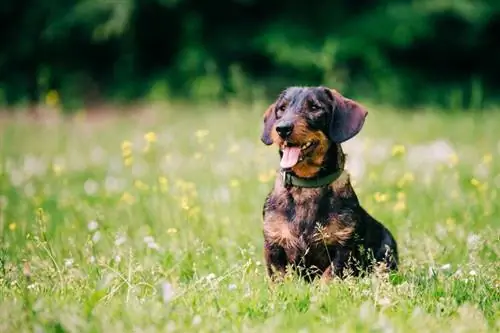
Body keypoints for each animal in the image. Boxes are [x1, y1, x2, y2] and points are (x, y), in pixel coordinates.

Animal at [262, 85, 398, 280]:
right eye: (282, 108)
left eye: (314, 108)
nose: (282, 128)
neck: (307, 186)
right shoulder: (273, 246)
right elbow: (281, 277)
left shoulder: (343, 248)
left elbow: (328, 277)